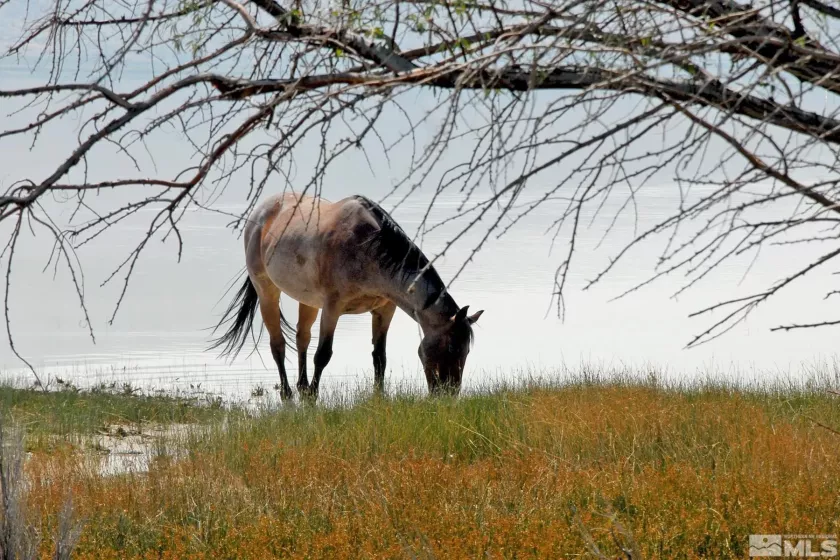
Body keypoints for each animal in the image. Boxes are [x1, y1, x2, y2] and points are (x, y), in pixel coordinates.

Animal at [210, 194, 486, 402]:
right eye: (452, 347)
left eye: (467, 350)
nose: (449, 394)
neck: (369, 249)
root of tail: (261, 212)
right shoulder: (332, 307)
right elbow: (323, 354)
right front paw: (314, 396)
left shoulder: (385, 310)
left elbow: (379, 357)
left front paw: (378, 395)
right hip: (266, 290)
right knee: (278, 344)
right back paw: (289, 393)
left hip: (308, 300)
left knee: (302, 337)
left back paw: (301, 386)